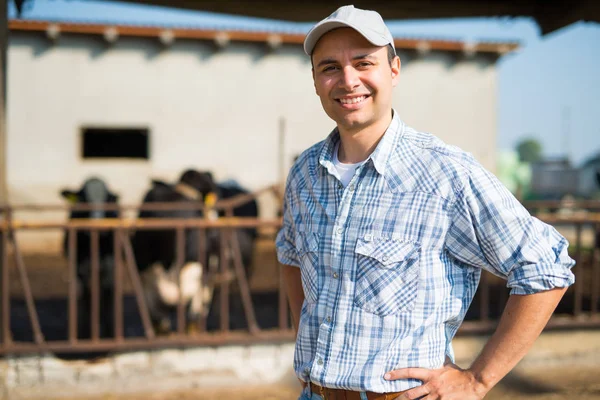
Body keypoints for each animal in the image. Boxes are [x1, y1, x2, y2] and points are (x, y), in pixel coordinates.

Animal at [60, 177, 119, 340]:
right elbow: (86, 297)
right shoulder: (80, 268)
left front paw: (109, 333)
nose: (97, 225)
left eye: (106, 199)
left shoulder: (110, 267)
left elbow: (107, 295)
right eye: (83, 199)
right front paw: (86, 333)